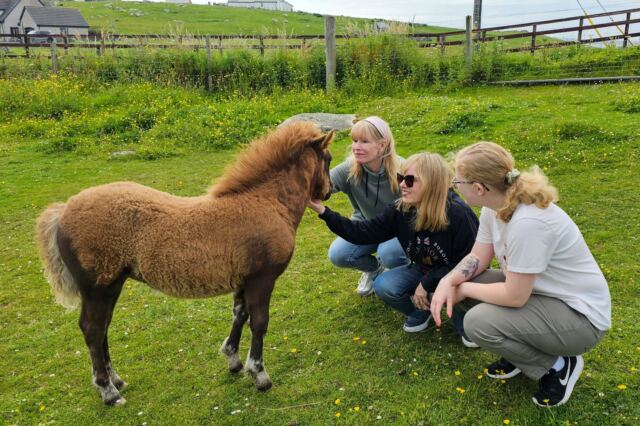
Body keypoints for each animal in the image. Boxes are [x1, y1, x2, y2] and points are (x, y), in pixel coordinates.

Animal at [35, 122, 334, 406]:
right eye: (328, 158)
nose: (328, 192)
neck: (266, 202)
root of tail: (63, 211)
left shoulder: (244, 280)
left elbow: (239, 314)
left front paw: (233, 360)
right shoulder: (263, 279)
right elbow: (259, 322)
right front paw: (259, 374)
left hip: (110, 286)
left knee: (102, 328)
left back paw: (116, 380)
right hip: (99, 287)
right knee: (93, 330)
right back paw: (108, 391)